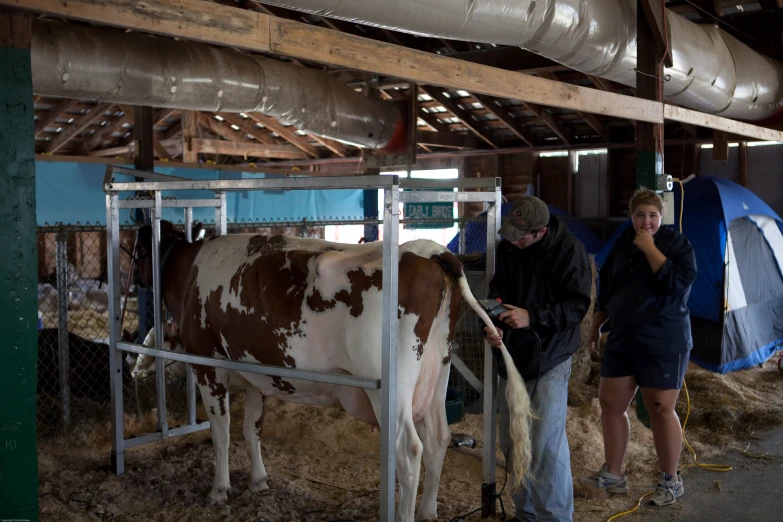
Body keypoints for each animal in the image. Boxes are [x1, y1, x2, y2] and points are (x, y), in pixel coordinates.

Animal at [133, 220, 532, 520]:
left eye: (136, 247)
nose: (135, 279)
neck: (189, 271)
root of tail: (428, 250)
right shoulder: (256, 375)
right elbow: (252, 429)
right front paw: (259, 481)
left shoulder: (207, 367)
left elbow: (222, 433)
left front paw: (219, 490)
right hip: (438, 369)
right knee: (438, 438)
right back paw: (427, 513)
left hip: (391, 388)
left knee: (409, 449)